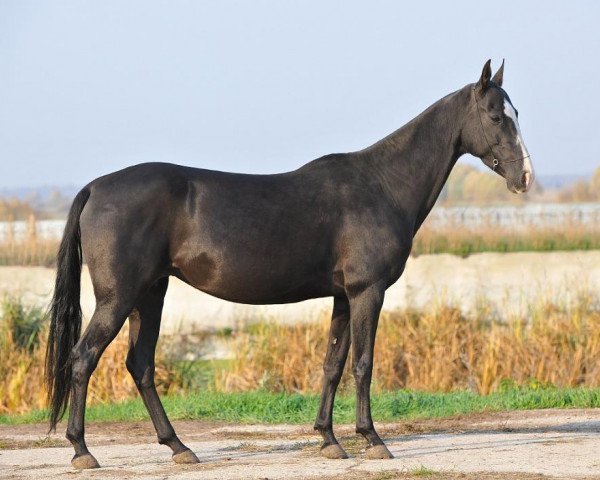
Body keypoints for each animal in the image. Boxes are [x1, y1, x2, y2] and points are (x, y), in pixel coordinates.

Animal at [47, 60, 536, 468]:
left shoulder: (343, 296)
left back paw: (179, 447)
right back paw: (82, 451)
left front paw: (329, 440)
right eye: (496, 116)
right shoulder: (367, 291)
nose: (525, 177)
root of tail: (95, 187)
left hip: (150, 294)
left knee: (141, 366)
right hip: (118, 298)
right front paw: (372, 439)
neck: (382, 185)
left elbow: (333, 364)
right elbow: (363, 363)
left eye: (517, 113)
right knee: (84, 358)